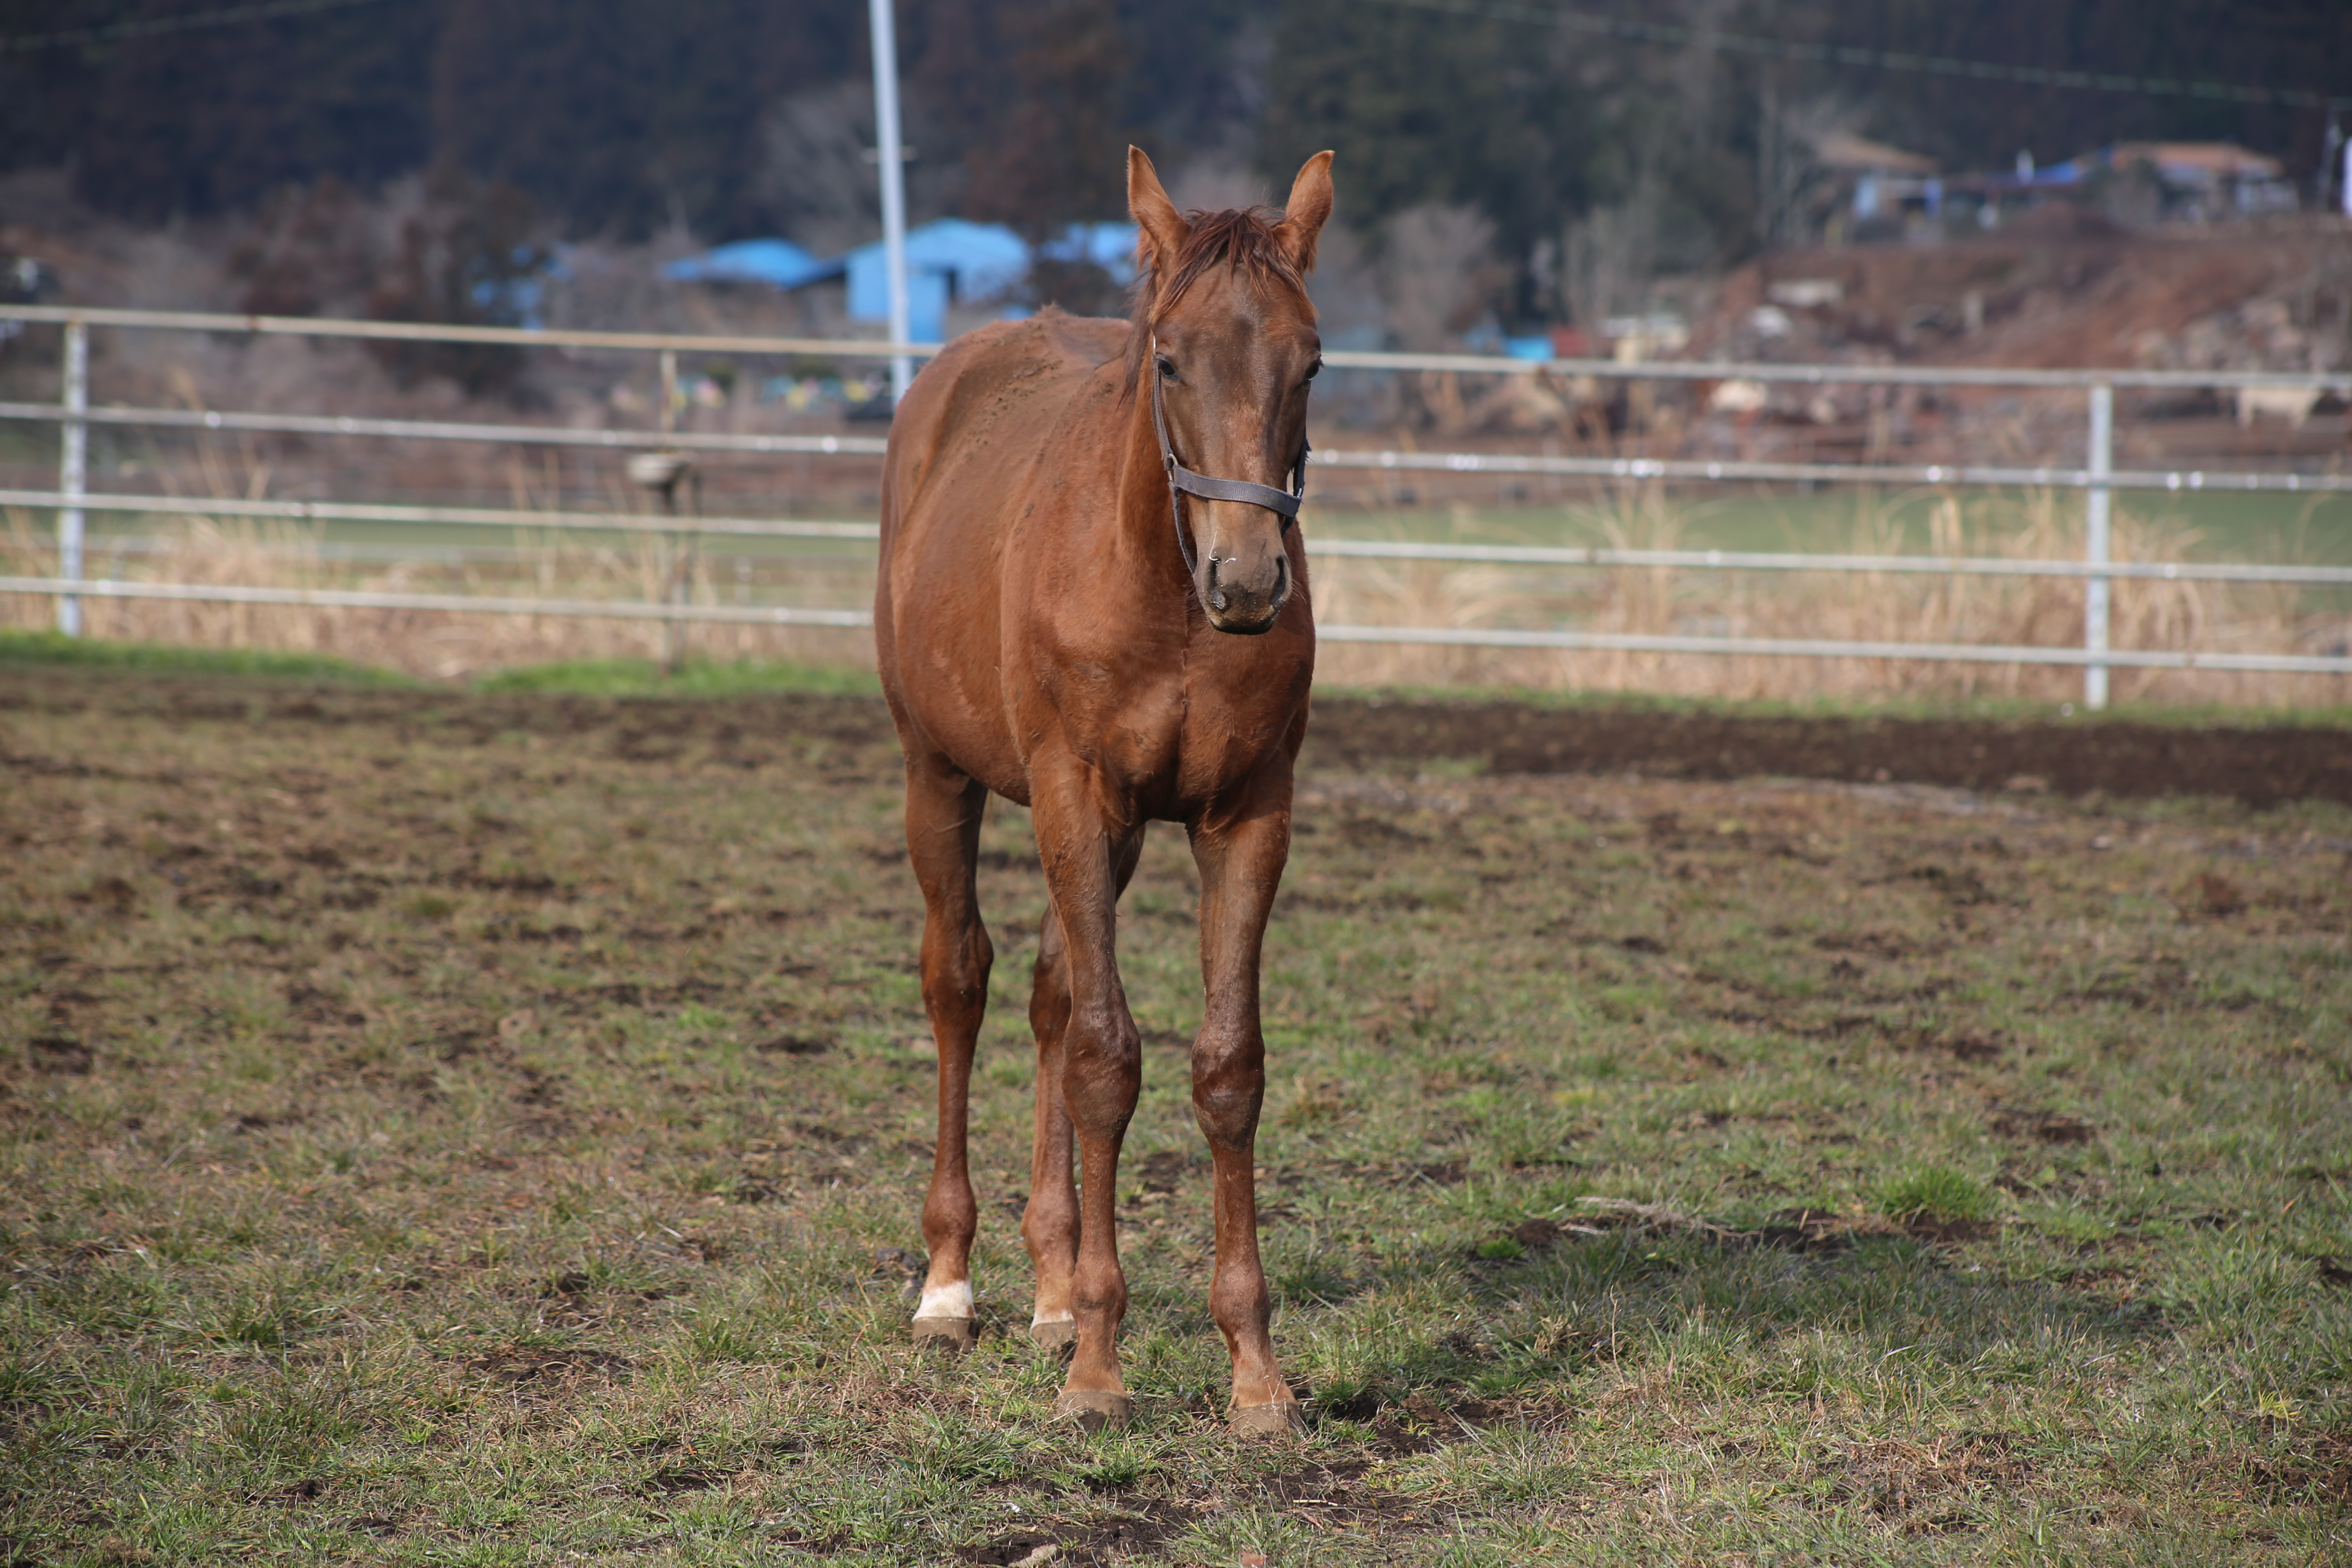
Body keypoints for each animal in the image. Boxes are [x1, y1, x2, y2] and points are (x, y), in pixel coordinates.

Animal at [875, 147, 1336, 1439]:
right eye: (1169, 358)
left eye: (1311, 362)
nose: (1247, 578)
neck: (1161, 587)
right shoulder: (1073, 796)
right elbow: (1104, 1059)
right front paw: (1098, 1370)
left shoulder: (1246, 815)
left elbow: (1223, 1068)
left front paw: (1253, 1372)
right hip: (939, 773)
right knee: (961, 982)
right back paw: (951, 1289)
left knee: (1044, 992)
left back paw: (1045, 1289)